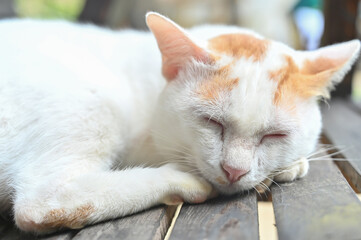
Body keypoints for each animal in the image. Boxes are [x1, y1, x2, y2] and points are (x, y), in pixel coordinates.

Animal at [0, 12, 358, 233]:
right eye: (212, 122)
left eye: (274, 135)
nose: (234, 171)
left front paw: (290, 164)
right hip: (96, 99)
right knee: (41, 202)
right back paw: (183, 180)